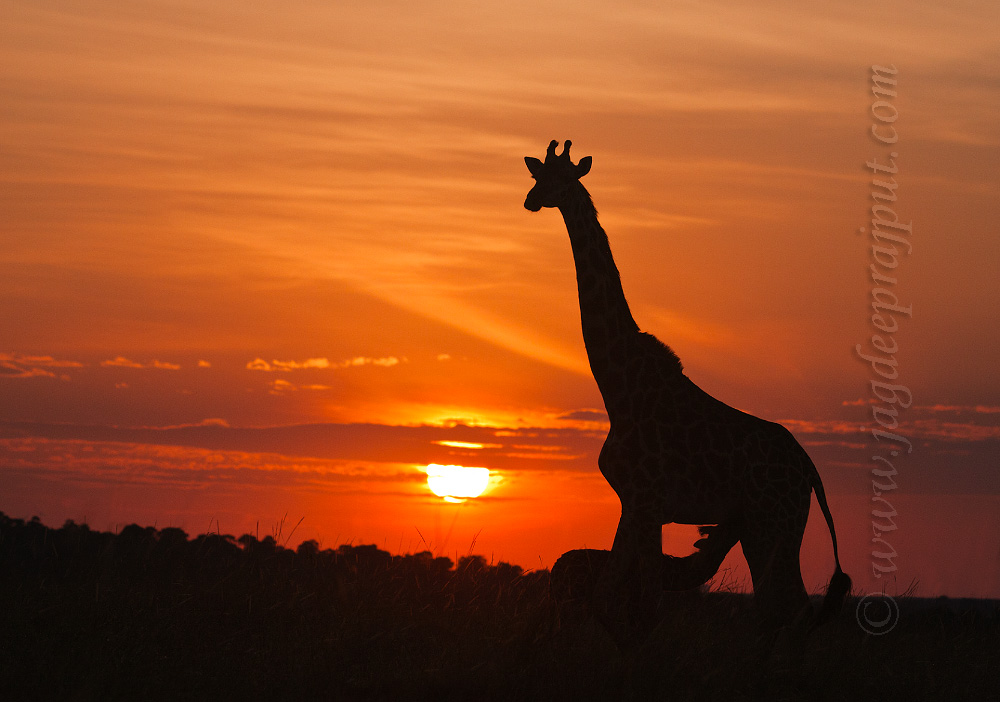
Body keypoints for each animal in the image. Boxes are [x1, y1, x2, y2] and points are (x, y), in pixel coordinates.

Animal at [524, 140, 850, 635]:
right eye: (536, 175)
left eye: (562, 178)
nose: (531, 200)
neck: (620, 390)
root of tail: (809, 470)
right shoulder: (633, 504)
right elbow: (608, 601)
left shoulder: (648, 501)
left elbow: (644, 608)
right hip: (762, 527)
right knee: (783, 610)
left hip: (776, 523)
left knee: (790, 610)